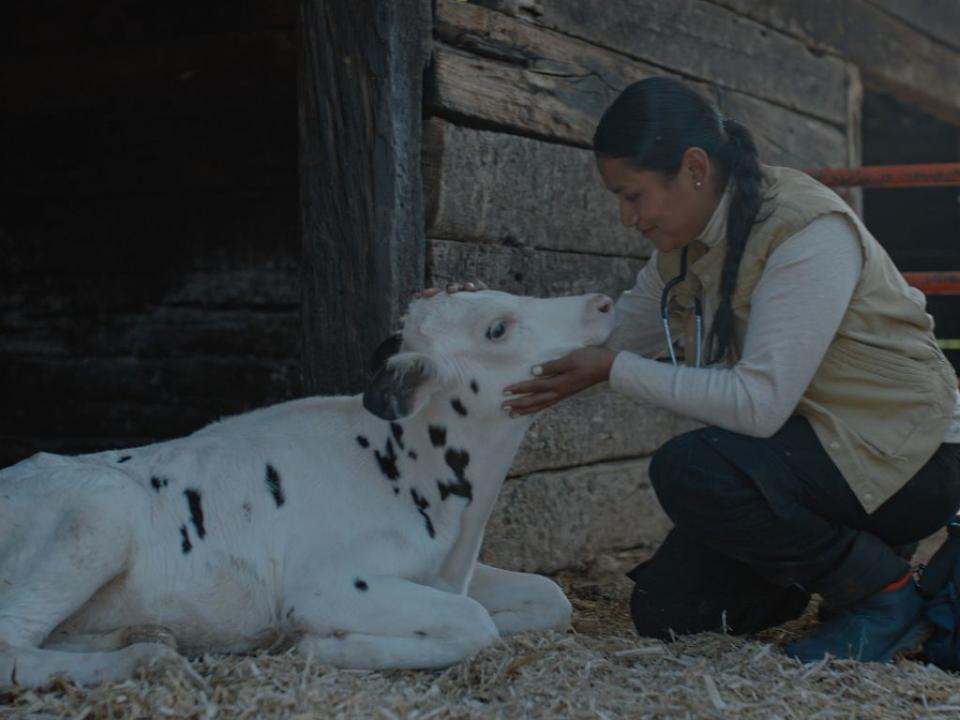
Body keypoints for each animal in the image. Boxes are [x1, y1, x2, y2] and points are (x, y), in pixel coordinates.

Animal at [0, 288, 616, 688]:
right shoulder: (326, 583)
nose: (603, 302)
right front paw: (324, 644)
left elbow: (549, 597)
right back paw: (145, 662)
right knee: (12, 646)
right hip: (99, 513)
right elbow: (474, 622)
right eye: (497, 328)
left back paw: (145, 636)